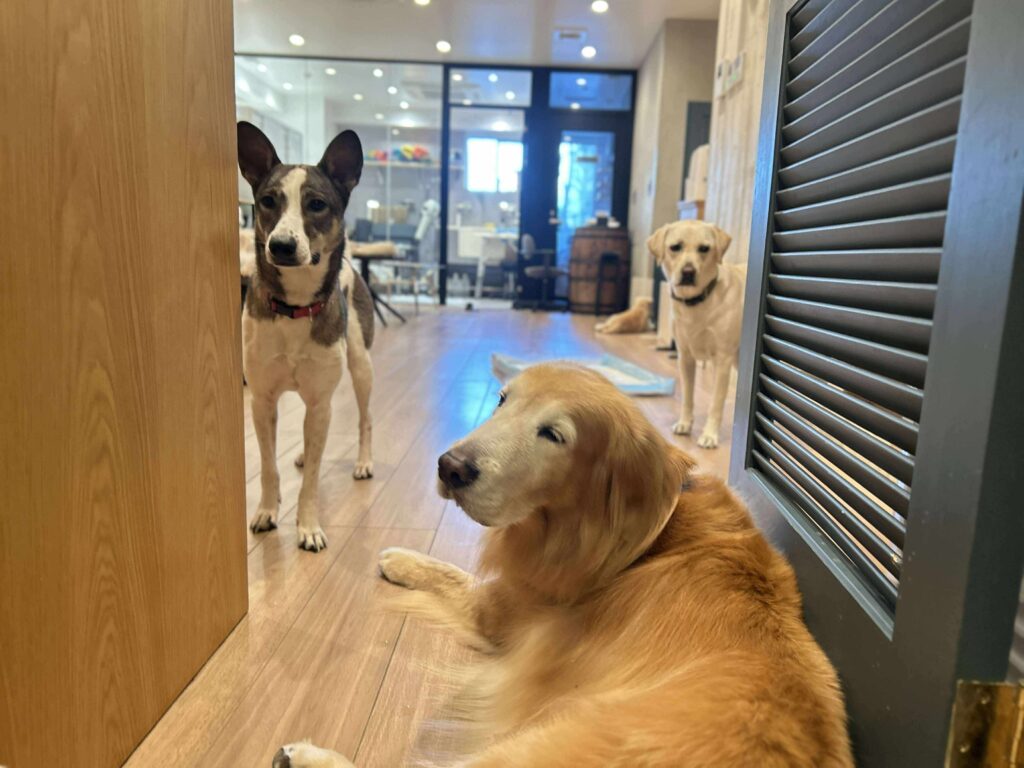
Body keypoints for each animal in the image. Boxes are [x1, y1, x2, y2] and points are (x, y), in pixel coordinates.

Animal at [237, 121, 375, 553]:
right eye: (267, 201)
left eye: (317, 204)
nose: (281, 245)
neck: (294, 306)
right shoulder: (262, 399)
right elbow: (267, 465)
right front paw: (267, 511)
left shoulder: (321, 400)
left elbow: (312, 480)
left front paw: (308, 526)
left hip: (361, 365)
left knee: (365, 418)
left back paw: (364, 461)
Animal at [272, 364, 853, 768]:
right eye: (502, 399)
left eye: (553, 435)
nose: (449, 466)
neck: (649, 534)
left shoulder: (502, 608)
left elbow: (457, 575)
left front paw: (399, 557)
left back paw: (303, 756)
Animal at [648, 220, 746, 448]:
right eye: (675, 247)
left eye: (704, 248)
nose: (688, 272)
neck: (697, 303)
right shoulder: (685, 357)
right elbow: (687, 397)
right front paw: (685, 424)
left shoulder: (722, 361)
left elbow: (715, 404)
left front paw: (710, 434)